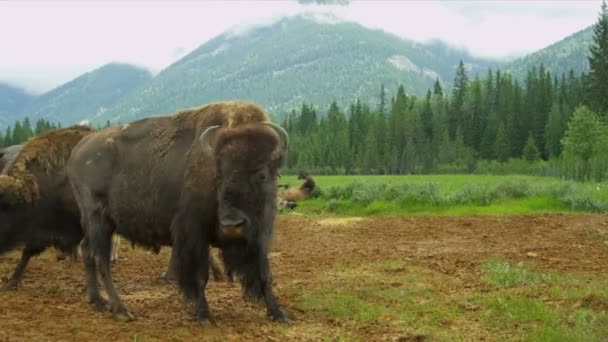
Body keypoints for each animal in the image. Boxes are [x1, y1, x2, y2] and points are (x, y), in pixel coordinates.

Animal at [67, 101, 290, 324]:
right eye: (218, 176)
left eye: (262, 175)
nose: (231, 224)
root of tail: (77, 151)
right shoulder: (194, 234)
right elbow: (200, 276)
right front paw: (204, 315)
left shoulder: (259, 237)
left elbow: (265, 274)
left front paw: (279, 313)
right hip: (98, 220)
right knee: (101, 259)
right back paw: (120, 310)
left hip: (99, 224)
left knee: (87, 250)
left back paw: (97, 300)